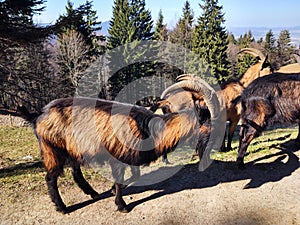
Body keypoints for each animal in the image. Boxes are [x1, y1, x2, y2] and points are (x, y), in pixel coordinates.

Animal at [18, 75, 220, 213]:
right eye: (208, 120)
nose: (215, 142)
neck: (150, 129)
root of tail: (38, 115)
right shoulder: (117, 159)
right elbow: (120, 180)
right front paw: (122, 205)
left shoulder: (130, 158)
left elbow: (134, 176)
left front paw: (112, 191)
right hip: (52, 149)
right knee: (50, 178)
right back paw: (62, 208)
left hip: (73, 150)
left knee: (76, 173)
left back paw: (93, 194)